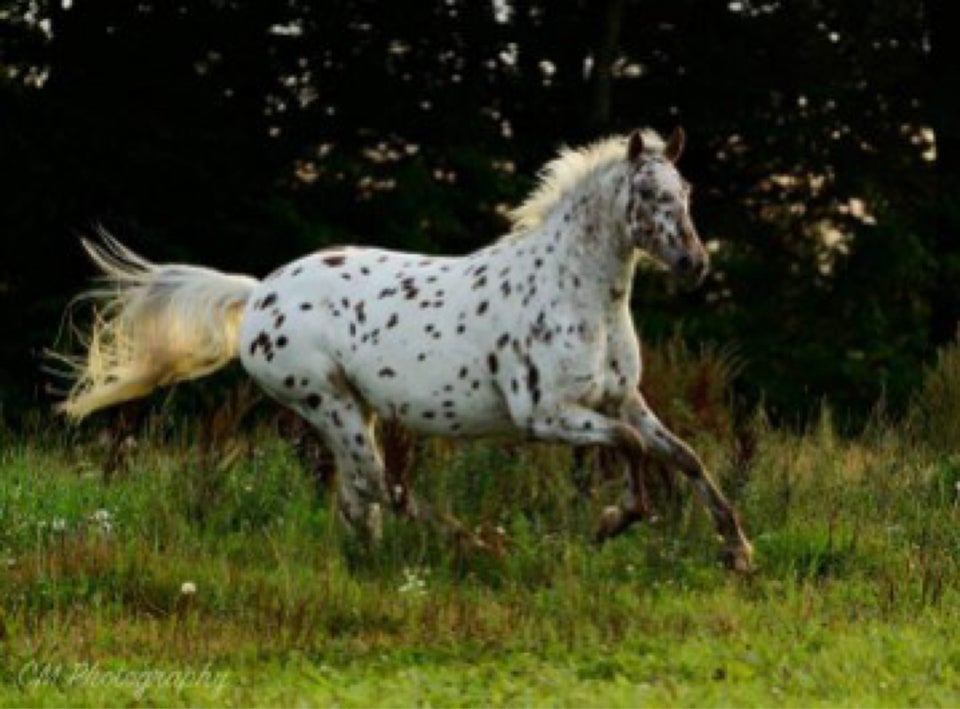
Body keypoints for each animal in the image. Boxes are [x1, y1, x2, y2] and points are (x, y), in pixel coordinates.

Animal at [56, 126, 752, 568]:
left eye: (686, 194)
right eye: (650, 195)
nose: (695, 264)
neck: (577, 294)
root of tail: (257, 295)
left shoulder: (622, 400)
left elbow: (684, 456)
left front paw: (738, 551)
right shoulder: (547, 416)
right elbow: (634, 450)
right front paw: (611, 523)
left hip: (351, 408)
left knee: (358, 495)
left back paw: (377, 563)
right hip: (327, 401)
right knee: (379, 485)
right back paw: (475, 546)